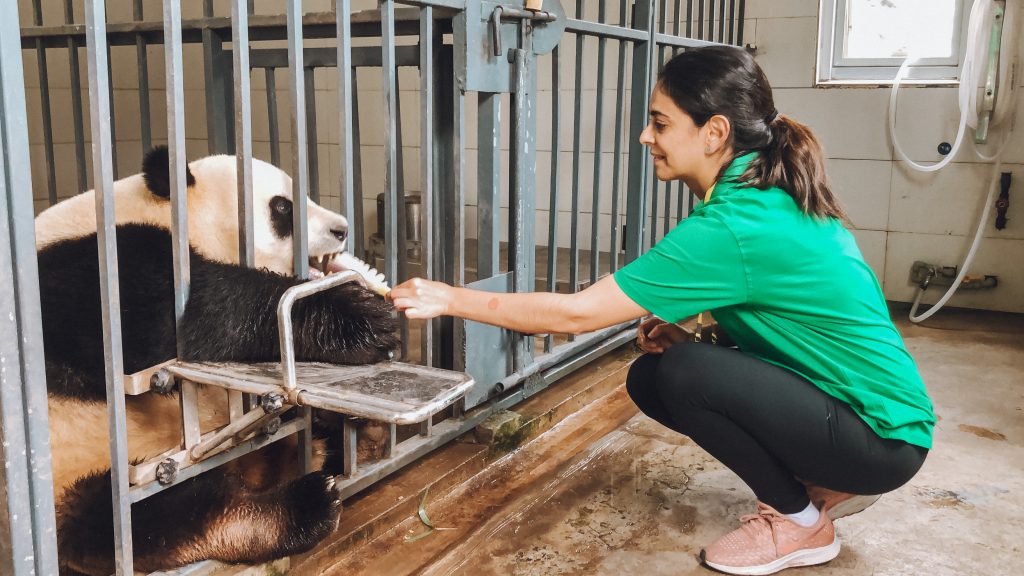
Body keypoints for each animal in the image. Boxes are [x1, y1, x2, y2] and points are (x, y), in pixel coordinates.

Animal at [36, 146, 397, 569]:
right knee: (150, 518)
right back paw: (299, 507)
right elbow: (174, 323)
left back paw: (353, 437)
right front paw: (361, 316)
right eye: (282, 207)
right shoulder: (87, 274)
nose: (341, 229)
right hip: (80, 470)